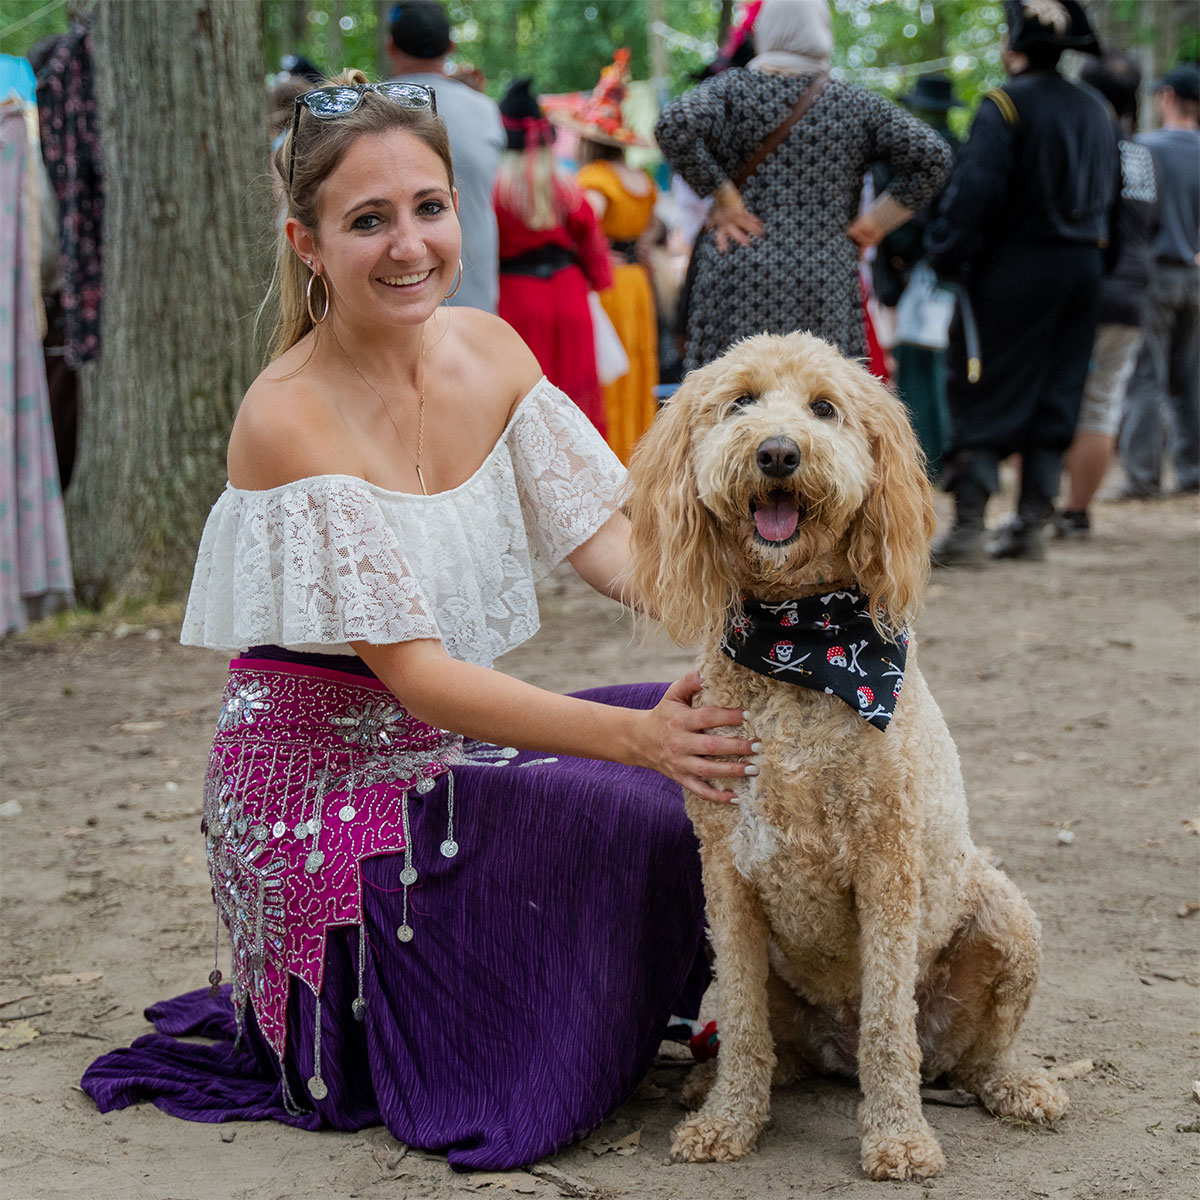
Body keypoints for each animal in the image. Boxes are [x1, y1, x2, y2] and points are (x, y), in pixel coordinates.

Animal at [624, 336, 1065, 1180]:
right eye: (740, 401)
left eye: (825, 408)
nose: (777, 452)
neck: (800, 644)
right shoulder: (725, 870)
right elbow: (744, 1022)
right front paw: (729, 1123)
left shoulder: (886, 865)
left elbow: (888, 1024)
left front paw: (898, 1137)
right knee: (772, 1042)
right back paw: (713, 1083)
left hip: (1005, 916)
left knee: (975, 1052)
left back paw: (1017, 1086)